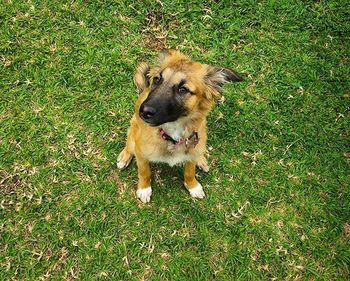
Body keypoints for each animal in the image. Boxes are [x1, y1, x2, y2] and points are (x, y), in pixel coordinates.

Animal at [116, 49, 242, 201]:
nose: (144, 111)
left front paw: (193, 186)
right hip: (134, 129)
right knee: (129, 143)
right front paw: (144, 189)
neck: (173, 136)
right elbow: (144, 171)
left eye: (183, 89)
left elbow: (189, 171)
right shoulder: (141, 154)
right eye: (157, 79)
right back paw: (124, 157)